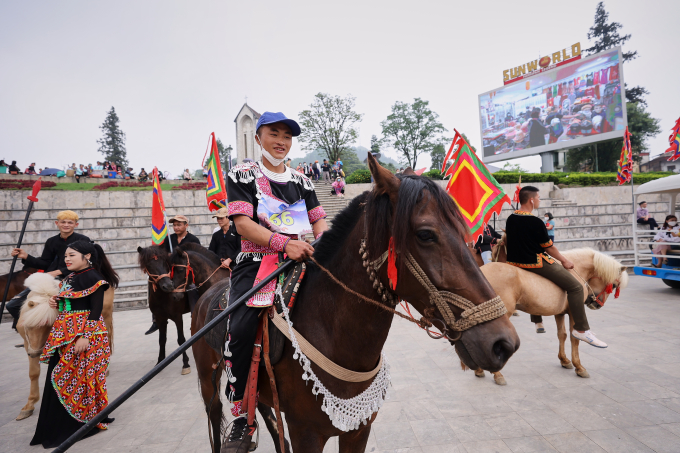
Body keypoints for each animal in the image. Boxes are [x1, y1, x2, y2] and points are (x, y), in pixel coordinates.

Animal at [14, 272, 115, 420]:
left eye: (48, 326)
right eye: (28, 326)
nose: (35, 353)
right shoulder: (28, 344)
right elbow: (33, 373)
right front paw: (28, 406)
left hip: (106, 316)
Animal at [194, 155, 516, 452]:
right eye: (426, 234)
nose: (503, 344)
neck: (334, 333)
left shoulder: (358, 429)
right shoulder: (305, 432)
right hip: (209, 379)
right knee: (217, 412)